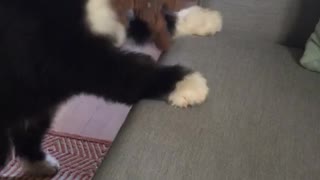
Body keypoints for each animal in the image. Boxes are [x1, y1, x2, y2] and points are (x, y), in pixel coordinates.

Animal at [0, 0, 220, 176]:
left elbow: (148, 23)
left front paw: (201, 19)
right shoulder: (74, 57)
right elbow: (131, 72)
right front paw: (185, 82)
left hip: (37, 107)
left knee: (27, 135)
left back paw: (40, 164)